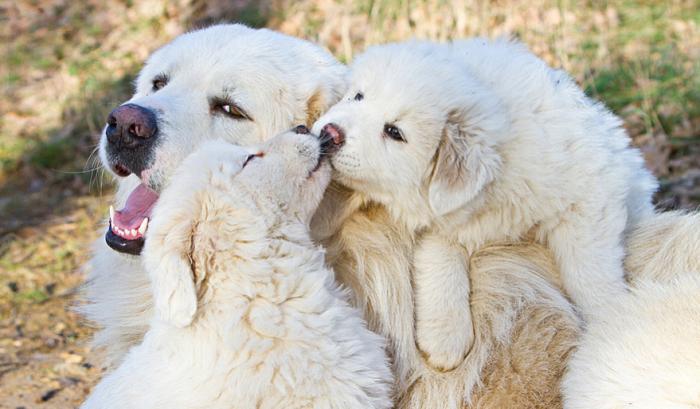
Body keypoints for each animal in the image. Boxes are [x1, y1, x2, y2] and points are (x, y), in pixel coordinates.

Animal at [314, 40, 660, 370]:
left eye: (394, 132)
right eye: (358, 96)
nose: (329, 133)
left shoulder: (591, 194)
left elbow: (589, 271)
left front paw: (610, 321)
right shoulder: (442, 221)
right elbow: (441, 261)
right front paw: (445, 338)